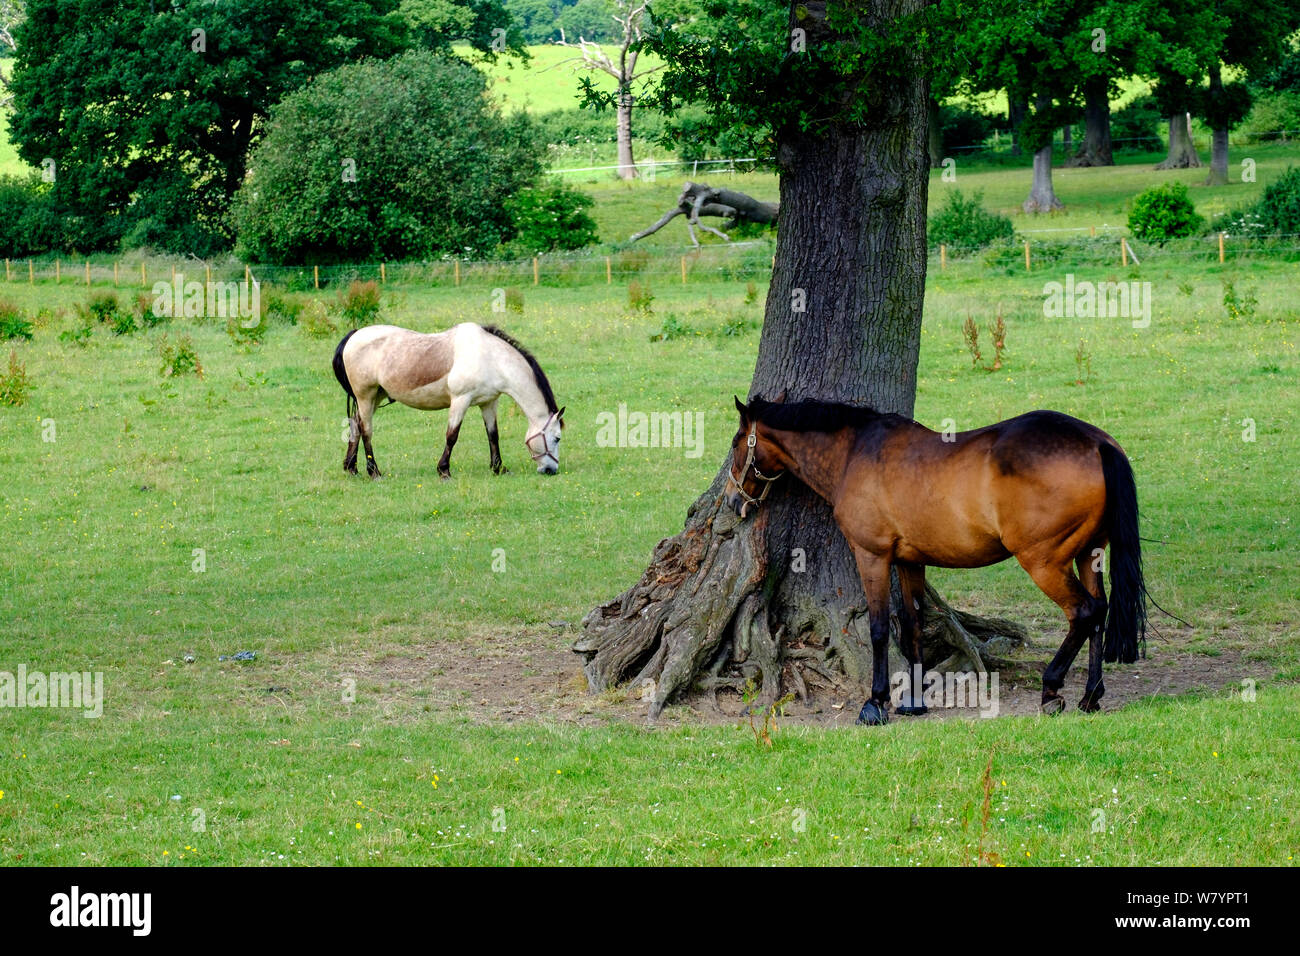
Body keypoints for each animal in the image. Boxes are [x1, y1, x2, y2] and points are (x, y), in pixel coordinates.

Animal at [332, 323, 564, 479]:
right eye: (557, 438)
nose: (551, 470)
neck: (490, 357)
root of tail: (354, 335)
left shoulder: (488, 403)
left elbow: (493, 435)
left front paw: (498, 468)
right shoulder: (460, 400)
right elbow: (452, 435)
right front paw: (444, 470)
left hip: (375, 396)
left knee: (355, 425)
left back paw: (352, 468)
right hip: (365, 396)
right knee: (366, 430)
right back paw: (374, 471)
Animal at [723, 396, 1149, 725]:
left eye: (736, 442)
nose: (731, 500)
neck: (855, 453)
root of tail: (1097, 443)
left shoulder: (873, 557)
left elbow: (879, 628)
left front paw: (875, 703)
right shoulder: (909, 561)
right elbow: (911, 625)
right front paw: (913, 701)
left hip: (1044, 561)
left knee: (1083, 612)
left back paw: (1051, 689)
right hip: (1088, 554)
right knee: (1099, 612)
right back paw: (1090, 695)